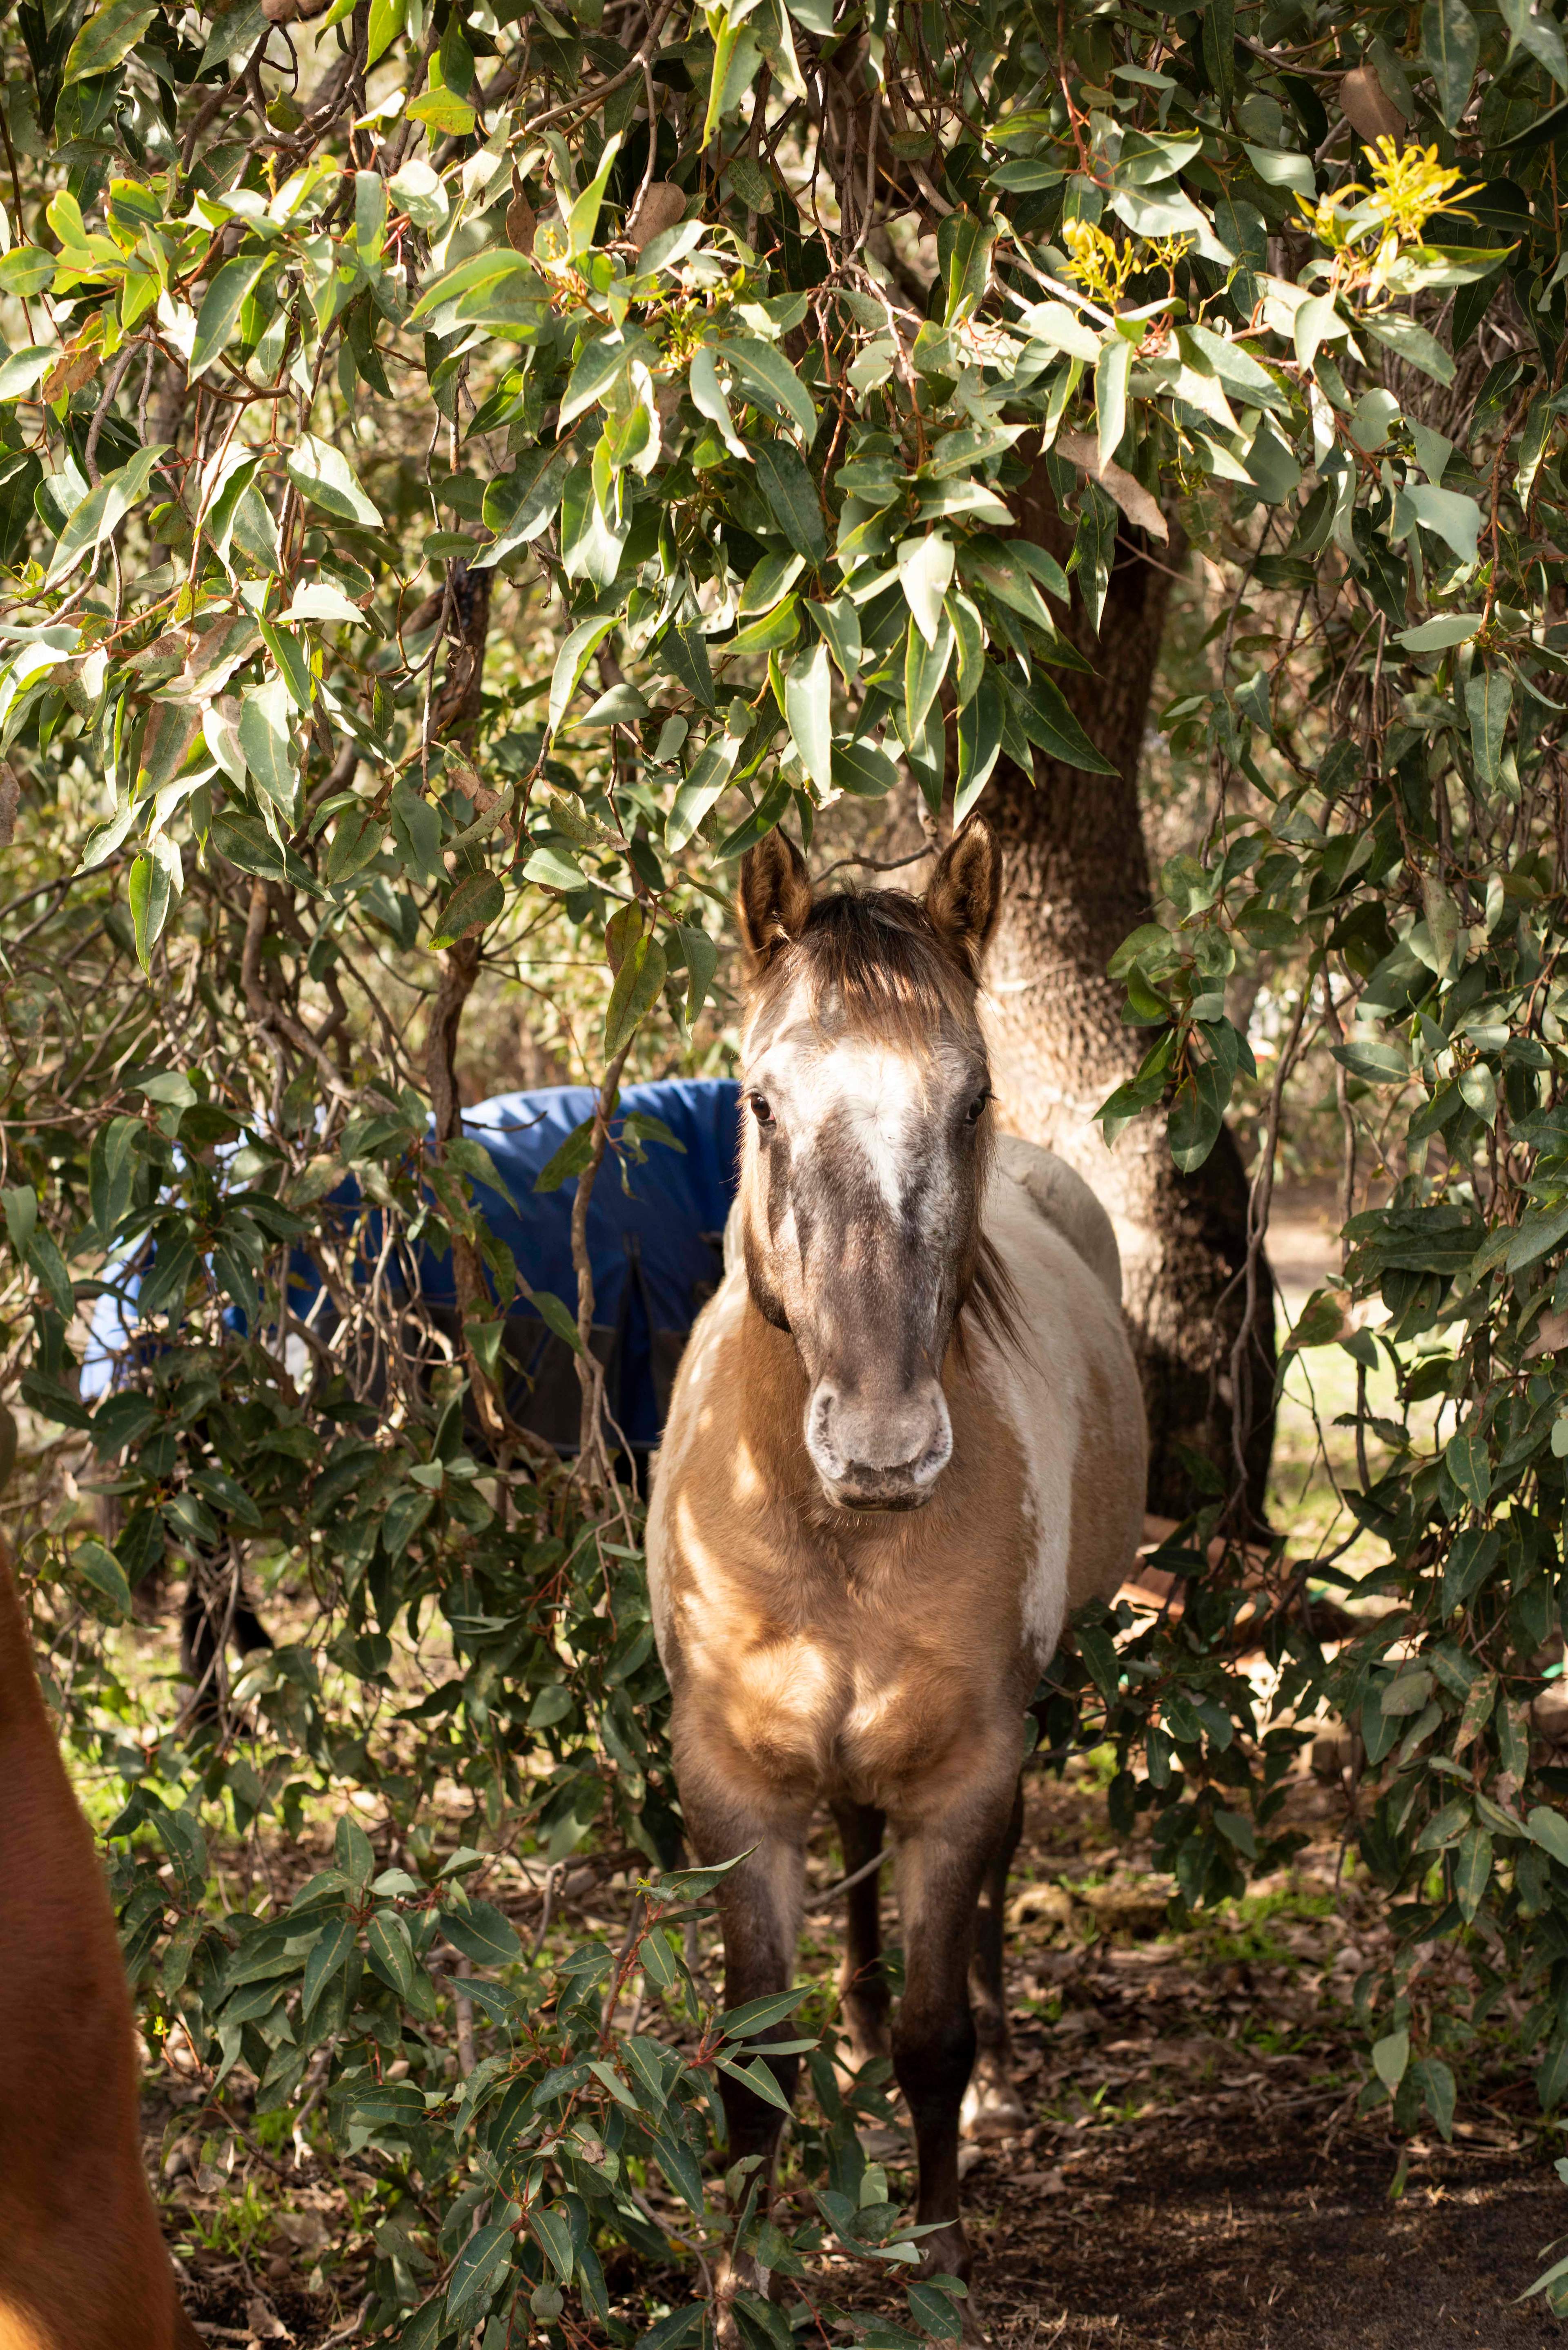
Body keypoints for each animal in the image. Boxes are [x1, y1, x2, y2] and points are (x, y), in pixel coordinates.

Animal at [646, 817, 1148, 2331]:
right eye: (759, 1103)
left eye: (970, 1098)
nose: (881, 1448)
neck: (833, 1533)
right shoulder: (733, 1784)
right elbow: (755, 2056)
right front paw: (738, 2282)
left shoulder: (969, 1767)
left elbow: (936, 2032)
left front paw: (939, 2258)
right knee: (860, 1848)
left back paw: (999, 2078)